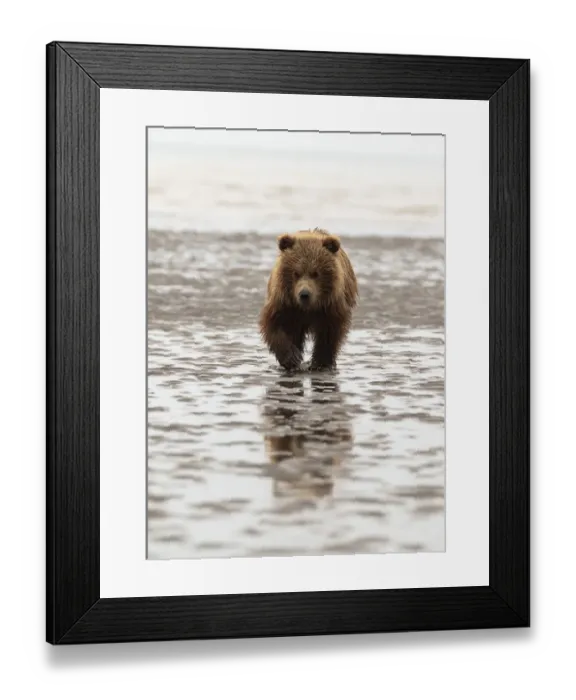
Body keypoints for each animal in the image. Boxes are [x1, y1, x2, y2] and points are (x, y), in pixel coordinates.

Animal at [258, 228, 358, 372]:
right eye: (296, 273)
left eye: (316, 273)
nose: (304, 294)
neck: (308, 308)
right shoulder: (286, 304)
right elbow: (275, 325)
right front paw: (291, 358)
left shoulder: (330, 307)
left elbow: (329, 333)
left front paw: (320, 363)